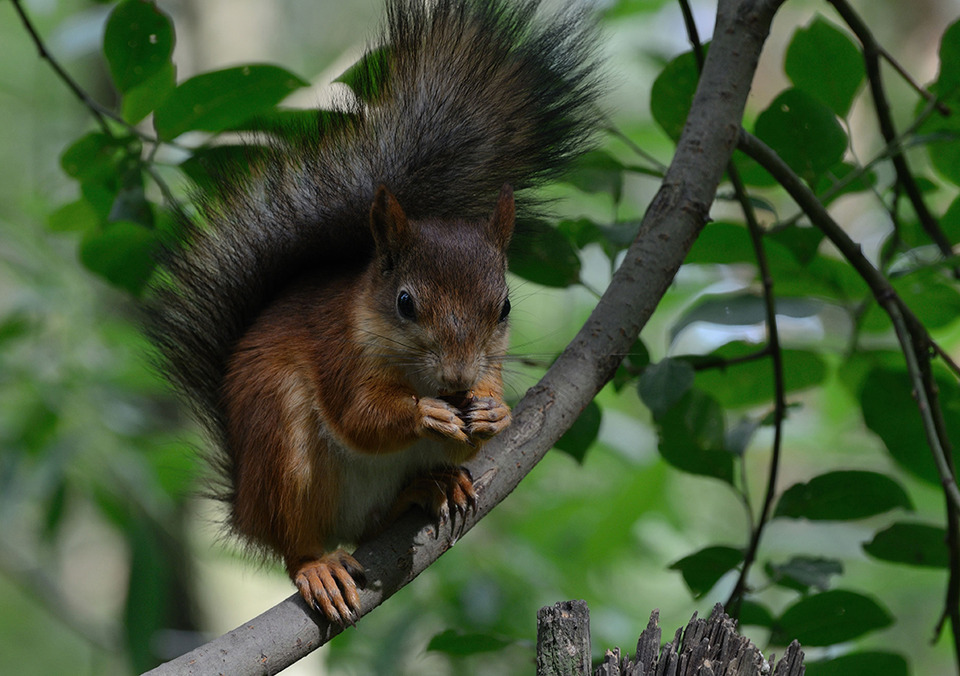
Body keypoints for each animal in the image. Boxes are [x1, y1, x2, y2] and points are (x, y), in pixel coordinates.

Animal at [149, 0, 600, 624]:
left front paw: (494, 413)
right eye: (405, 303)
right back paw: (318, 566)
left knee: (373, 521)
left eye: (505, 306)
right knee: (293, 540)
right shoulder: (339, 352)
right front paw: (424, 413)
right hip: (280, 444)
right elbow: (359, 418)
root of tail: (244, 504)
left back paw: (430, 488)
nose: (458, 380)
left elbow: (478, 422)